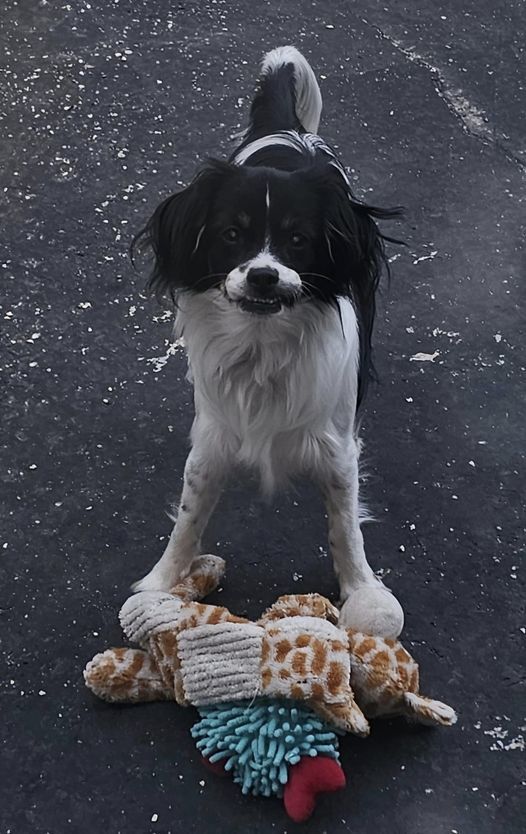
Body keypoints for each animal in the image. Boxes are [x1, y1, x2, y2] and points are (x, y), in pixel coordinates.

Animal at [134, 47, 406, 632]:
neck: (262, 344)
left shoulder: (336, 448)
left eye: (299, 240)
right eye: (231, 235)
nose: (262, 276)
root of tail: (289, 131)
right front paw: (162, 582)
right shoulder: (212, 440)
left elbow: (345, 525)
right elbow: (189, 517)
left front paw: (362, 589)